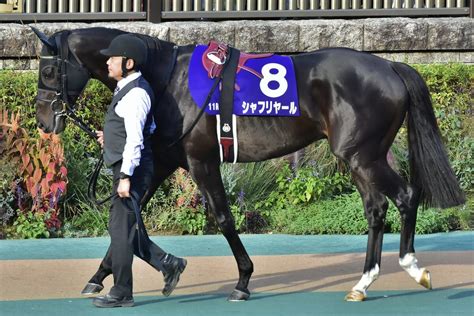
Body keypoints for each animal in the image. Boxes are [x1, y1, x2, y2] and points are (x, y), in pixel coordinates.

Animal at [32, 27, 462, 302]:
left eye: (50, 69)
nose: (43, 120)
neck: (166, 78)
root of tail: (391, 67)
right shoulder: (167, 159)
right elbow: (128, 214)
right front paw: (98, 278)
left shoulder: (201, 159)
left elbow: (223, 217)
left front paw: (242, 279)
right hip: (360, 157)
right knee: (376, 209)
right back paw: (363, 282)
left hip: (362, 155)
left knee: (406, 195)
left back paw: (412, 267)